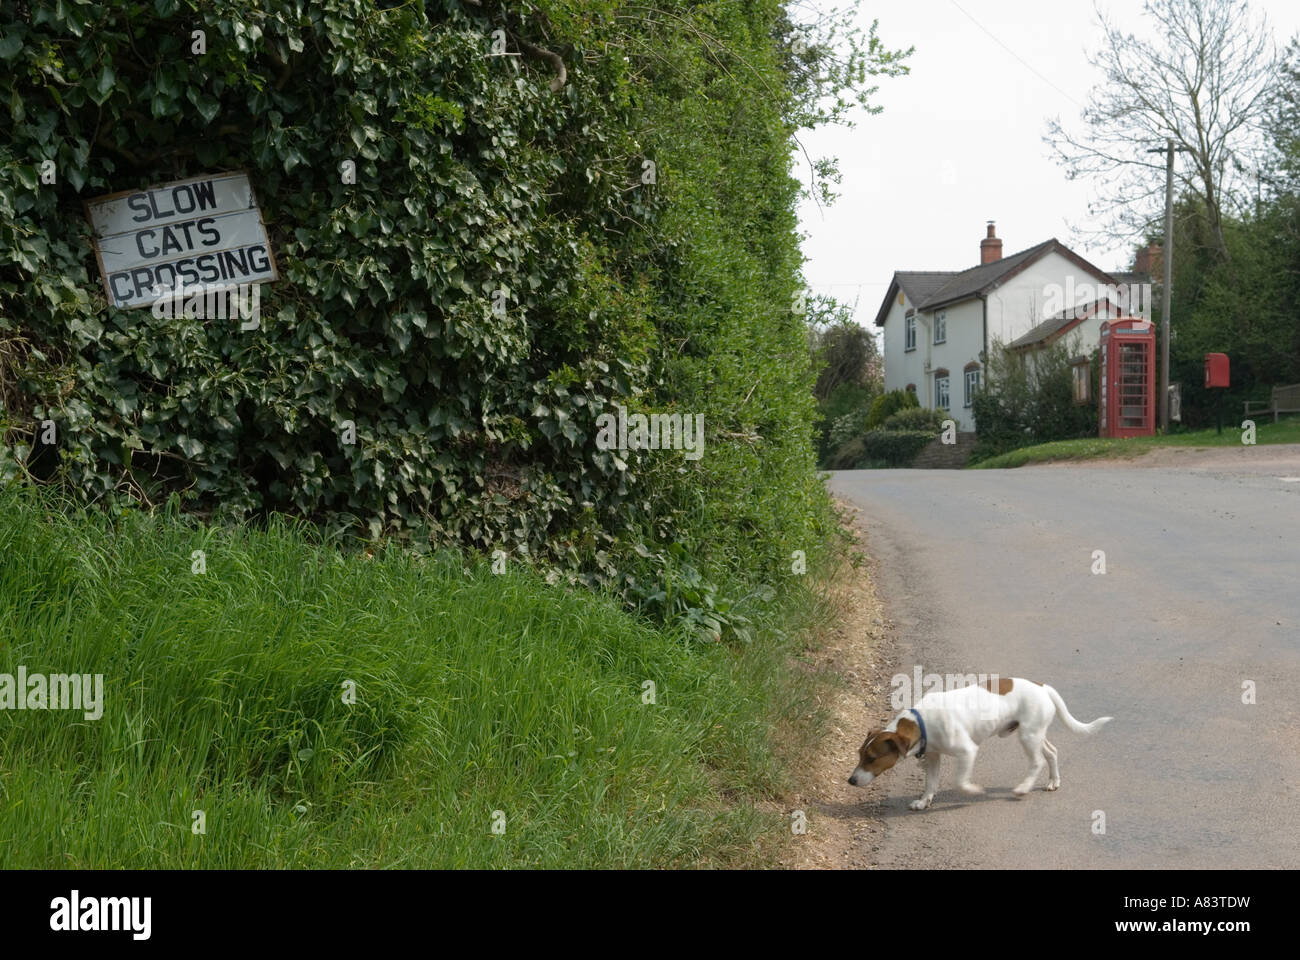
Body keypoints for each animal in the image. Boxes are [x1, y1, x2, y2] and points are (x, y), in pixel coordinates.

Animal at [847, 671, 1112, 806]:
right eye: (860, 755)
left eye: (872, 758)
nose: (850, 780)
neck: (920, 722)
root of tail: (1042, 686)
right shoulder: (933, 757)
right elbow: (930, 783)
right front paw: (923, 801)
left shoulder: (968, 751)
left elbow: (960, 781)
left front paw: (973, 790)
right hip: (1034, 733)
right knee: (1051, 752)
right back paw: (1053, 781)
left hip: (1028, 737)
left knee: (1036, 762)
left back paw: (1023, 788)